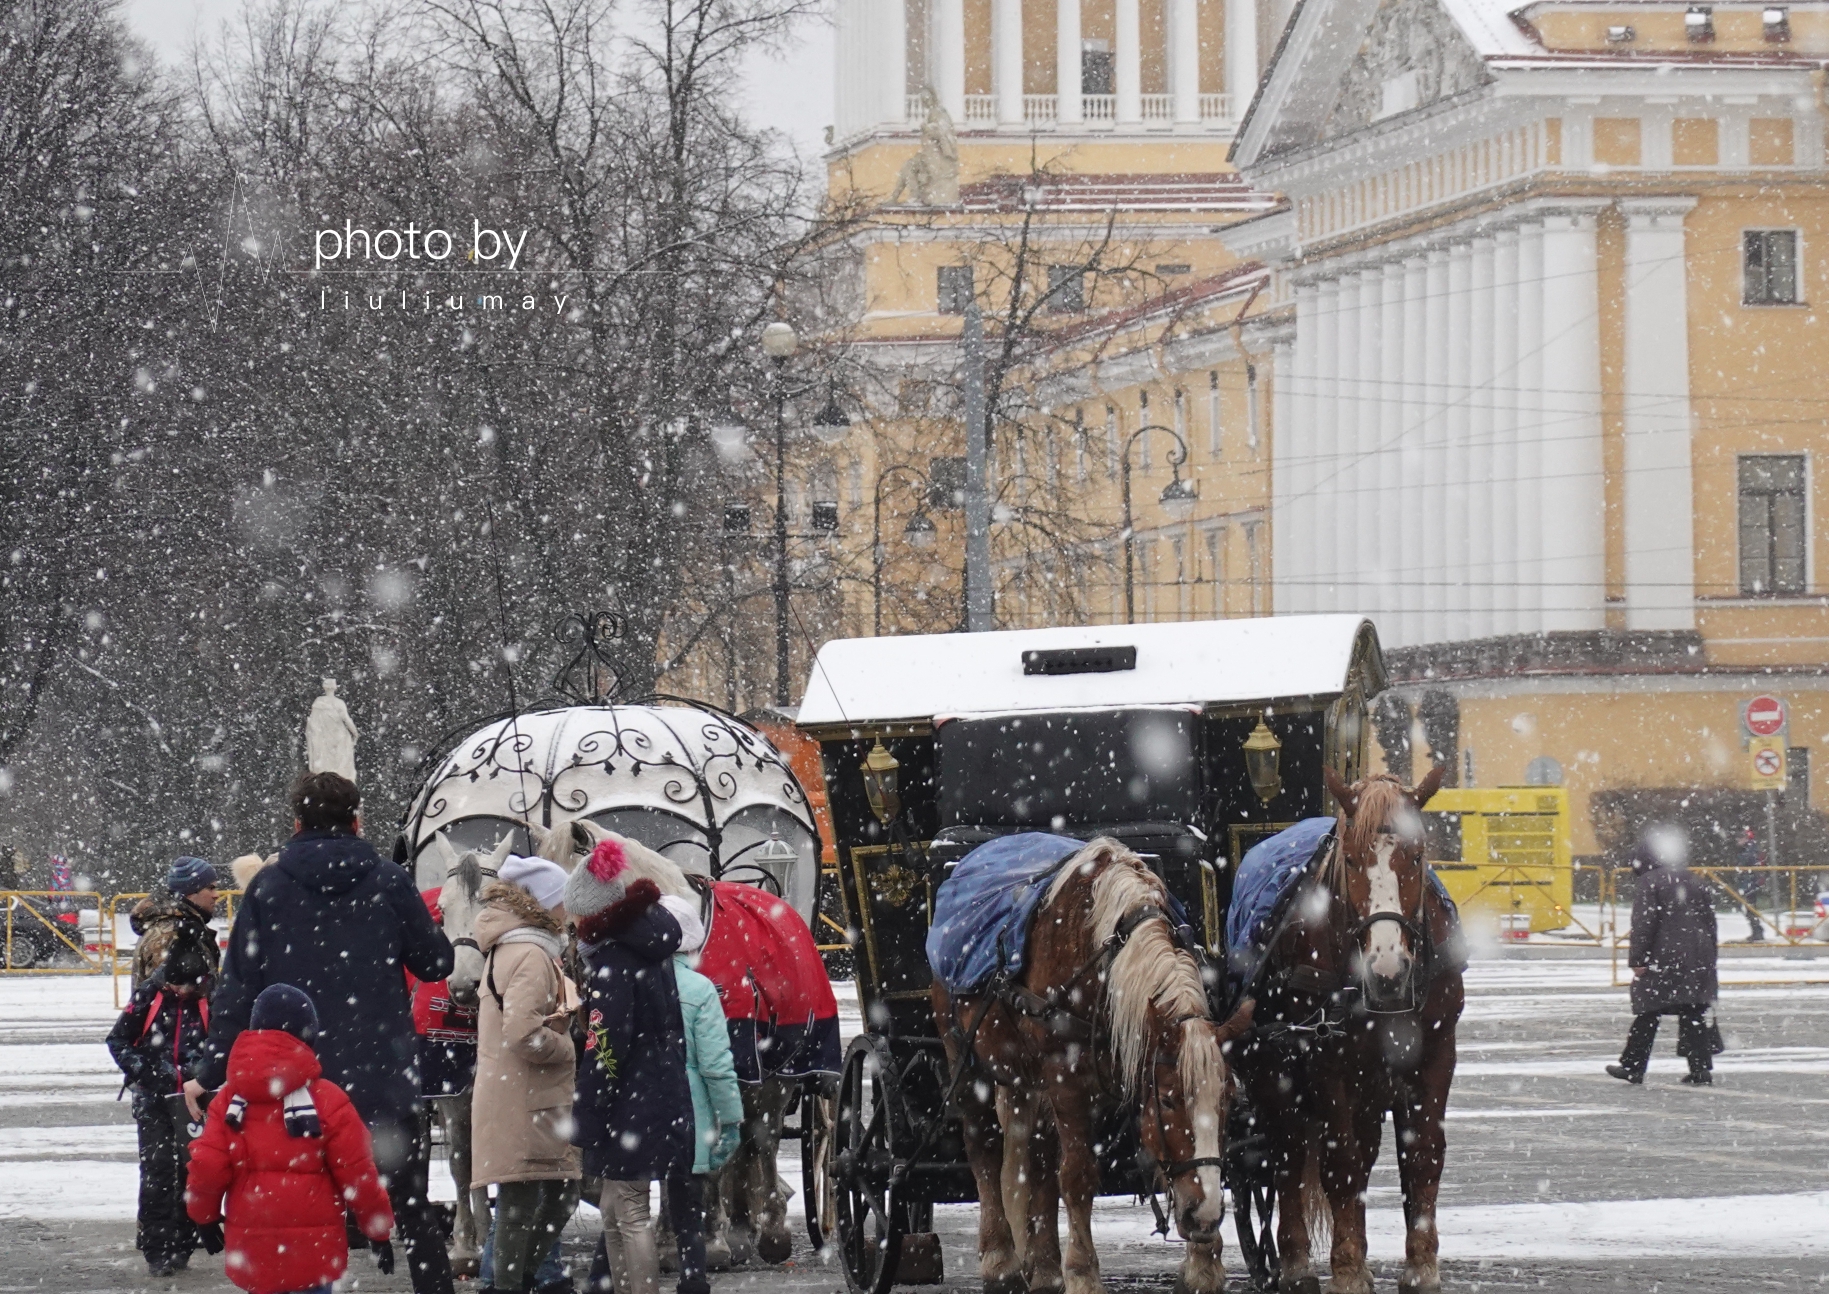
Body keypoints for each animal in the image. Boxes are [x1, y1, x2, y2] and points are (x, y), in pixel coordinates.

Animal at [929, 845, 1258, 1294]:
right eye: (1168, 1100)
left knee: (1037, 1161)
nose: (1205, 1215)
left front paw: (1204, 1263)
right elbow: (1078, 1175)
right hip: (964, 1057)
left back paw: (1044, 1266)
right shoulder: (1065, 1077)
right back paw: (1000, 1259)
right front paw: (1083, 1272)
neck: (1104, 959)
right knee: (984, 1147)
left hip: (1029, 1080)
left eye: (1228, 1101)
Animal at [1236, 765, 1463, 1294]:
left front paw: (1421, 1264)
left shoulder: (1437, 1052)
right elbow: (1338, 1164)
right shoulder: (1327, 1063)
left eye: (1416, 856)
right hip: (1274, 1070)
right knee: (1287, 1154)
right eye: (1355, 860)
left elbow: (1423, 1154)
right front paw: (1347, 1268)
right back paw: (1296, 1261)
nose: (1388, 971)